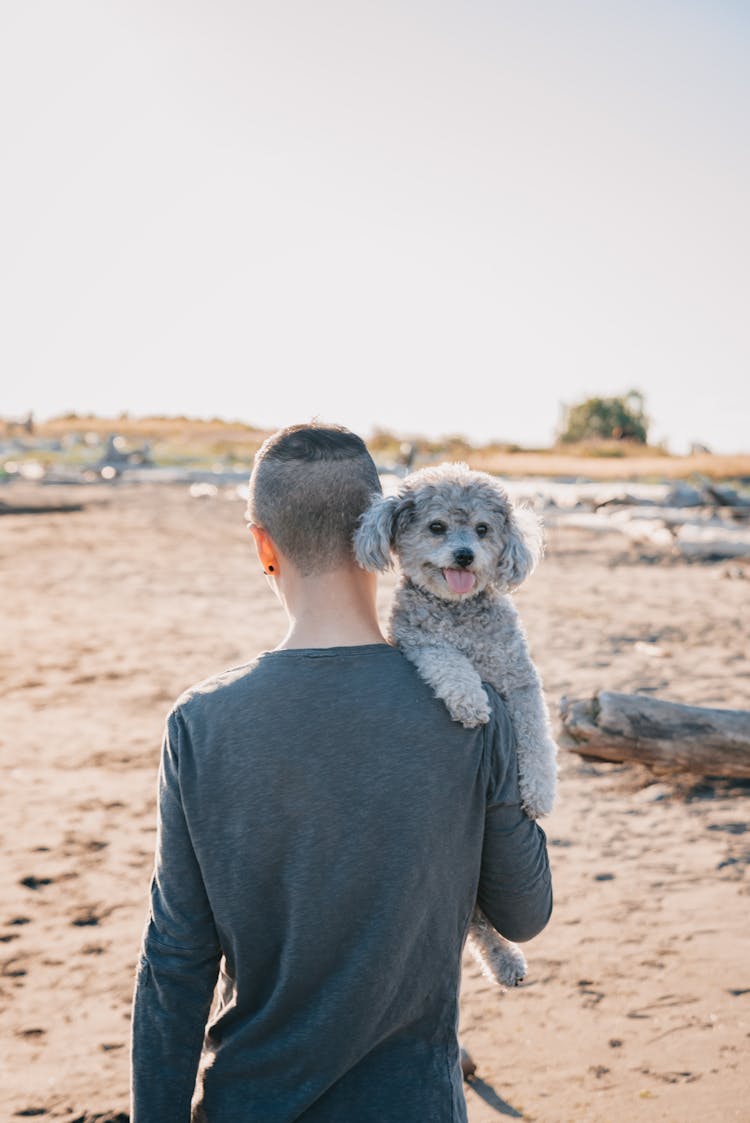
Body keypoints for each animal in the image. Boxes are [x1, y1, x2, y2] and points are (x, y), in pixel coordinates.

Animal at [357, 460, 556, 988]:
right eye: (437, 527)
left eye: (484, 530)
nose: (465, 555)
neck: (459, 612)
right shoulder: (419, 645)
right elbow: (449, 664)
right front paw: (470, 702)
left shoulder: (521, 680)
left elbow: (537, 738)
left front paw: (540, 793)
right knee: (476, 922)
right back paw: (505, 961)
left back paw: (508, 963)